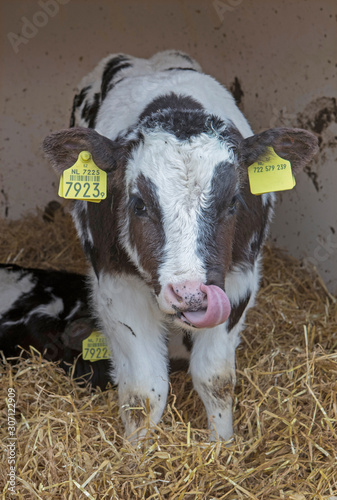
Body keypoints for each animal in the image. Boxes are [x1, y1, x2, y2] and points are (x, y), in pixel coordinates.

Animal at [42, 50, 318, 442]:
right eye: (139, 204)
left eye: (233, 202)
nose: (190, 294)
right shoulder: (116, 286)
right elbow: (143, 391)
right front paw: (137, 452)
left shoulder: (239, 280)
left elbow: (215, 379)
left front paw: (222, 445)